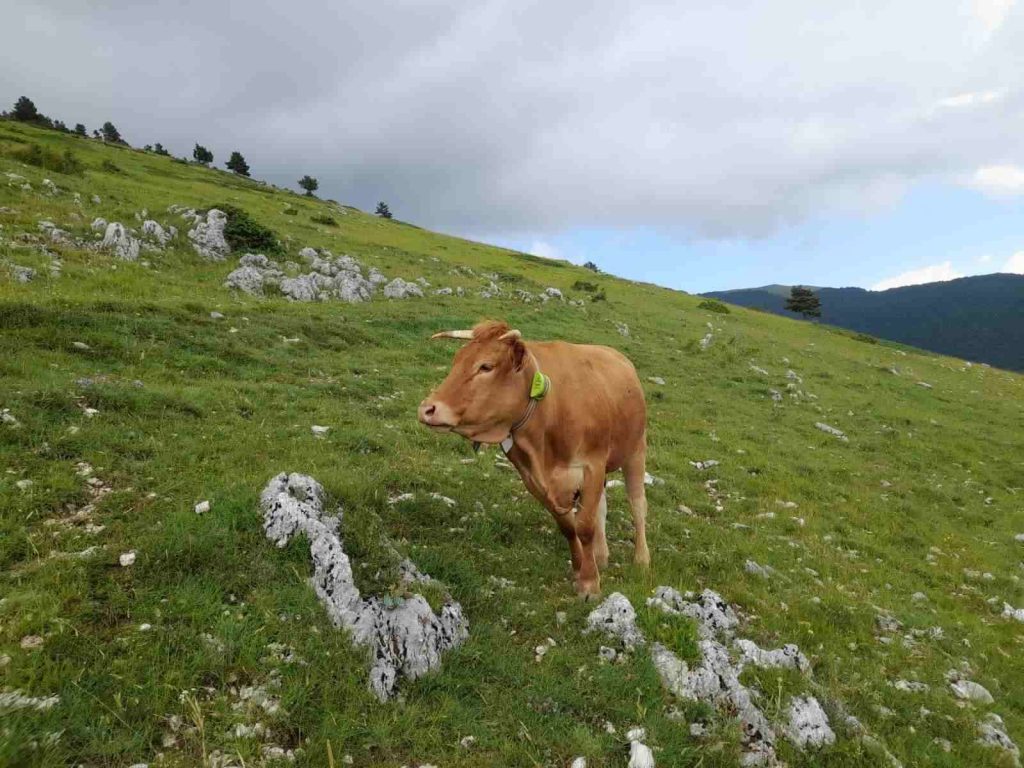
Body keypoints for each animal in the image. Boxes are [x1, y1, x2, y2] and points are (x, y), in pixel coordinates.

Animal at [418, 319, 649, 599]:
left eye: (486, 366)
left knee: (637, 504)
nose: (427, 409)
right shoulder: (533, 479)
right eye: (456, 360)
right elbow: (569, 527)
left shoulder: (591, 465)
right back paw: (601, 555)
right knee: (602, 506)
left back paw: (642, 559)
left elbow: (584, 526)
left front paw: (590, 585)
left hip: (636, 450)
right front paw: (580, 569)